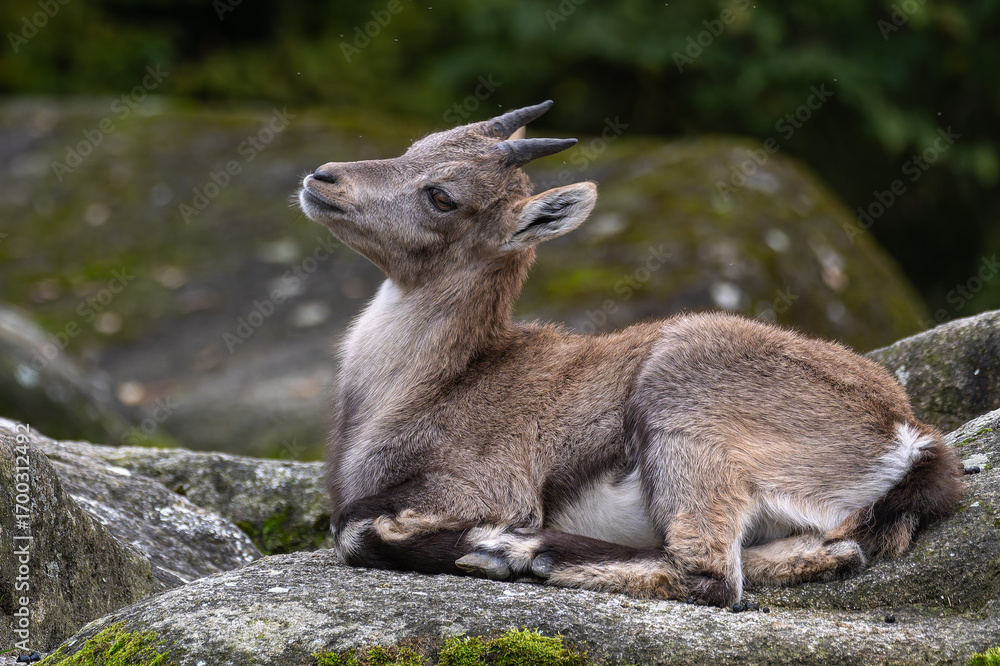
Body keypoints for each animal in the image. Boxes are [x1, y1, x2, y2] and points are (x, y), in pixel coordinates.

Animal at [297, 101, 963, 606]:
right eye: (414, 146)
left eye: (442, 196)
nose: (321, 178)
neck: (423, 386)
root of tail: (908, 438)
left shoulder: (483, 485)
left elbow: (353, 529)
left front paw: (485, 543)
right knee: (825, 551)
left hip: (686, 410)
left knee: (709, 576)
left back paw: (519, 552)